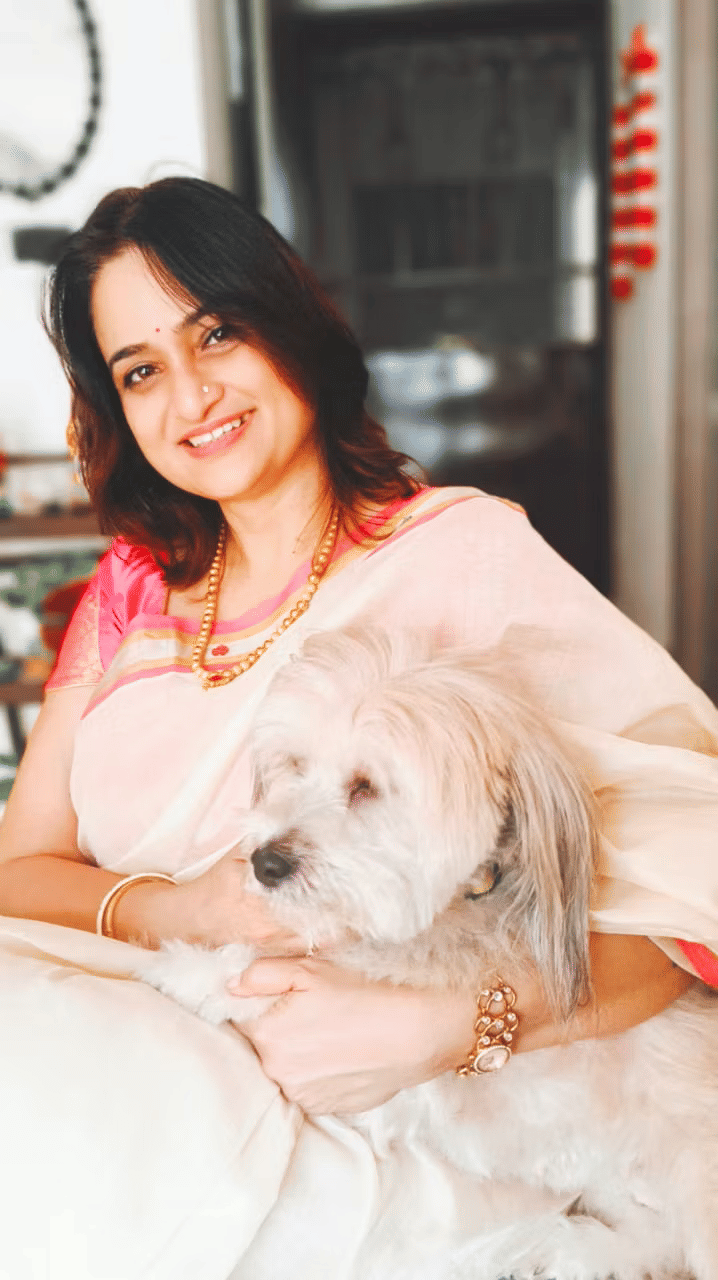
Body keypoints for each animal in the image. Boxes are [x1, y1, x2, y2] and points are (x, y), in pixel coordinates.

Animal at [137, 627, 718, 1280]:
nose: (266, 862)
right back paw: (577, 1250)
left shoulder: (403, 1088)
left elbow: (270, 976)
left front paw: (189, 970)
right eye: (295, 765)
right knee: (653, 1239)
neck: (443, 921)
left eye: (365, 787)